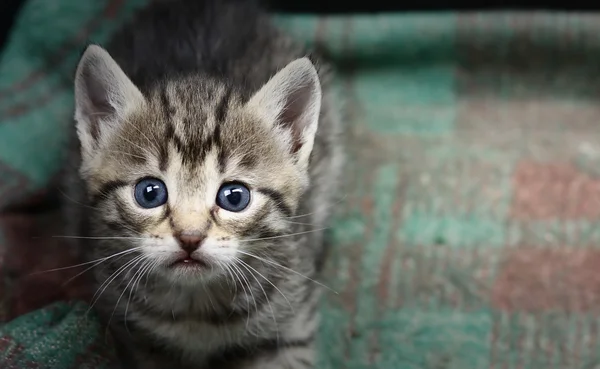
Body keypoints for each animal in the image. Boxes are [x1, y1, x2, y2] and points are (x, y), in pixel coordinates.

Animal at [63, 0, 342, 366]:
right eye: (149, 193)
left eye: (234, 197)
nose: (190, 238)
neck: (196, 310)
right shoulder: (131, 332)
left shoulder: (292, 322)